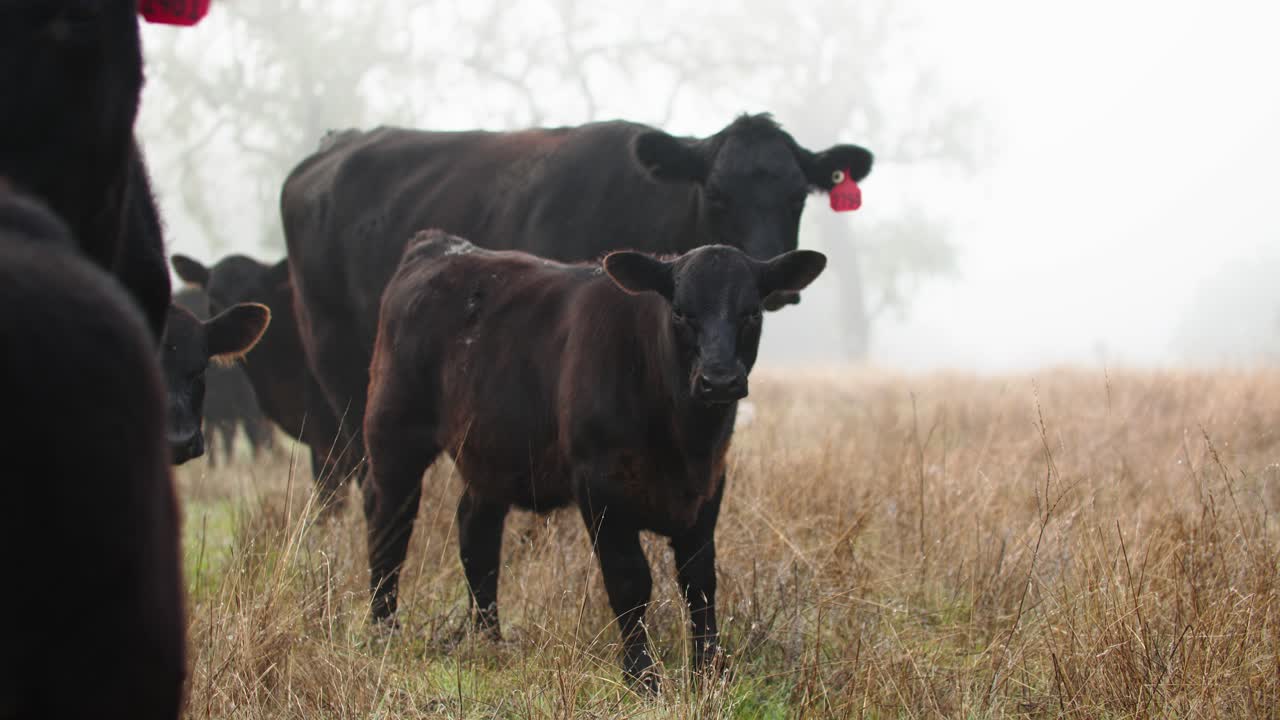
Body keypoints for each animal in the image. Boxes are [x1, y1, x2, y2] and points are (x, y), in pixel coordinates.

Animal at [283, 113, 871, 479]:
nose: (774, 277)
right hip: (334, 352)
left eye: (797, 196)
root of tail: (335, 144)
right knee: (351, 457)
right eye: (718, 194)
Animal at [362, 230, 827, 689]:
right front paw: (641, 675)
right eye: (680, 312)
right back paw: (384, 628)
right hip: (394, 435)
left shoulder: (709, 484)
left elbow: (700, 580)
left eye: (752, 312)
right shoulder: (599, 485)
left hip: (491, 453)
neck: (682, 440)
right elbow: (630, 581)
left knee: (476, 533)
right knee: (390, 524)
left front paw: (710, 670)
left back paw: (490, 637)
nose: (719, 380)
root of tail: (438, 244)